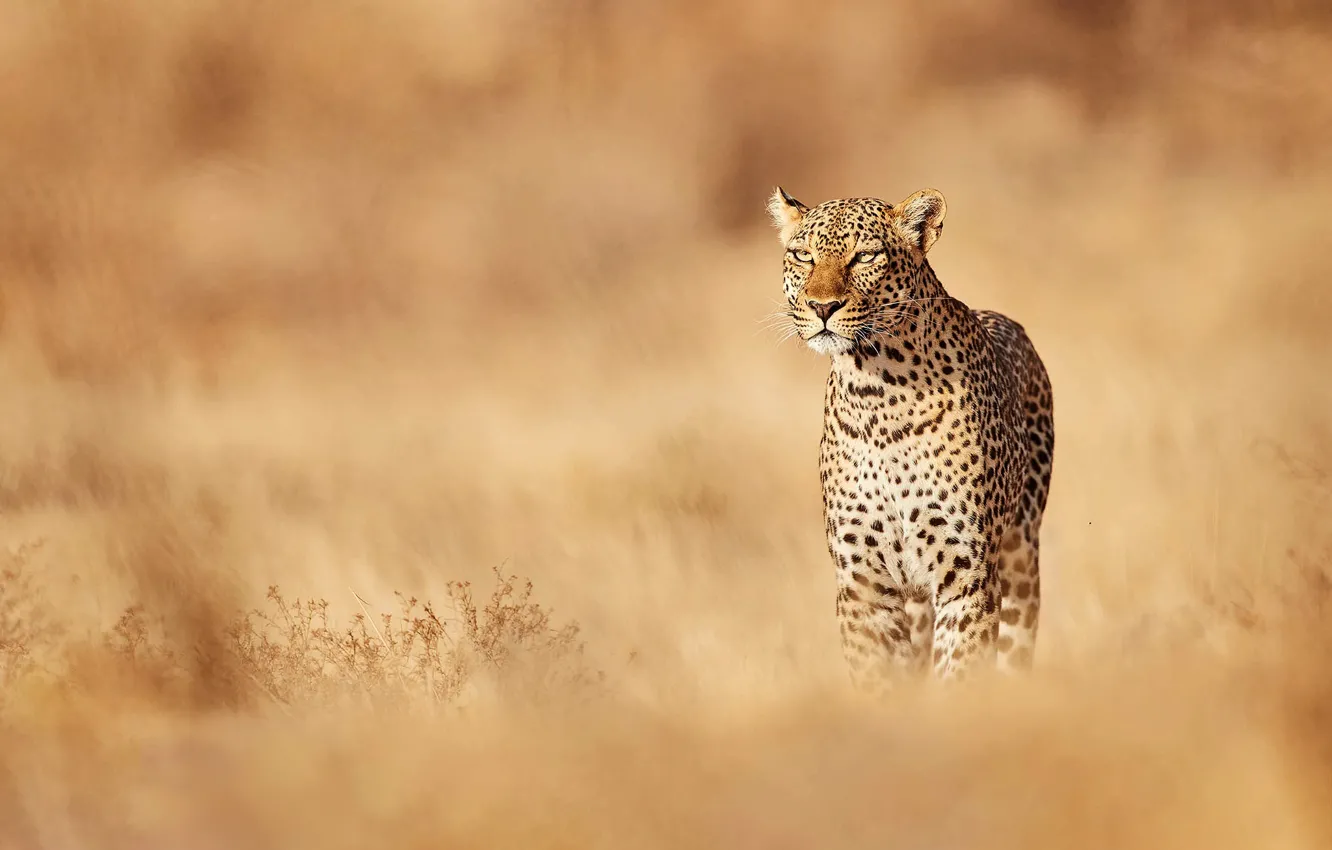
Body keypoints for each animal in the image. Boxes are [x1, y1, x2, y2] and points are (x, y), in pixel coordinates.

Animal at [767, 186, 1054, 691]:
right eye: (803, 255)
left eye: (865, 257)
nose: (822, 307)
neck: (876, 392)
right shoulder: (862, 582)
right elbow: (879, 679)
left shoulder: (968, 575)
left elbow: (960, 673)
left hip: (1021, 556)